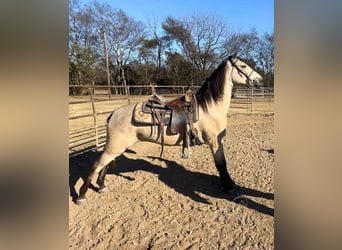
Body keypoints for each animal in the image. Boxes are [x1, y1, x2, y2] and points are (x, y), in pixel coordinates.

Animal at [76, 53, 264, 204]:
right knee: (96, 166)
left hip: (118, 147)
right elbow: (221, 164)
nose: (260, 80)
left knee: (106, 165)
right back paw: (81, 195)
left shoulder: (218, 141)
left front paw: (230, 184)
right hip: (114, 147)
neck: (209, 107)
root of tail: (113, 114)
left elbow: (222, 164)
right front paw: (229, 186)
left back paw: (101, 186)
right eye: (243, 66)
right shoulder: (214, 142)